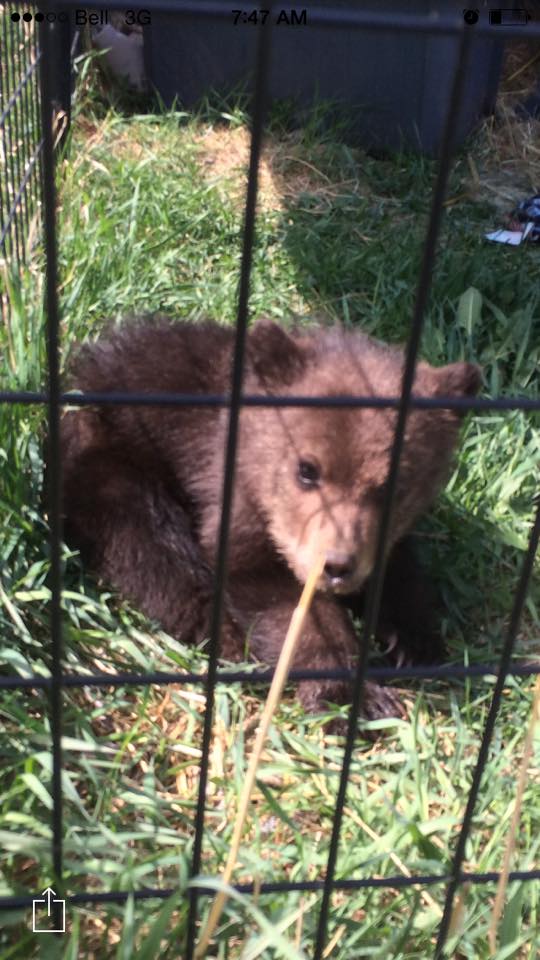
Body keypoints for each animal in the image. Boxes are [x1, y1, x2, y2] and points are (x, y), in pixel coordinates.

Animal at [60, 317, 481, 720]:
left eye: (397, 484)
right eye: (307, 470)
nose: (336, 565)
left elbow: (399, 565)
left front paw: (413, 639)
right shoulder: (237, 500)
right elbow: (282, 599)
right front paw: (347, 694)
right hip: (113, 464)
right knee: (153, 551)